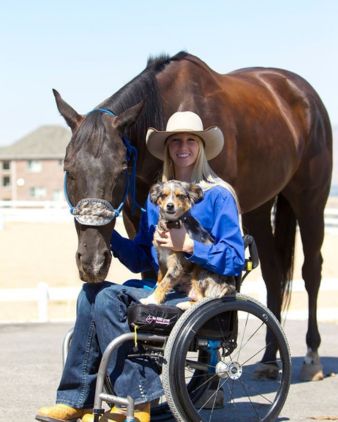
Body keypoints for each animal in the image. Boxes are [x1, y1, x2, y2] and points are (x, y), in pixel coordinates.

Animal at [139, 180, 235, 308]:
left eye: (180, 195)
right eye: (163, 195)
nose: (170, 205)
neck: (172, 223)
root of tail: (230, 287)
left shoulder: (176, 266)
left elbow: (165, 282)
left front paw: (152, 299)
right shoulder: (161, 257)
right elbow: (160, 276)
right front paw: (155, 289)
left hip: (200, 271)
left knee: (201, 299)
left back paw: (184, 304)